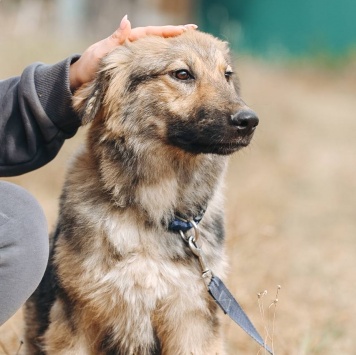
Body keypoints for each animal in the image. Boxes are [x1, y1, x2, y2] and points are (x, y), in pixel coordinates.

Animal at [24, 29, 258, 354]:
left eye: (226, 75)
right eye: (182, 74)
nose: (249, 121)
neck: (153, 210)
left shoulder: (191, 319)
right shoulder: (76, 320)